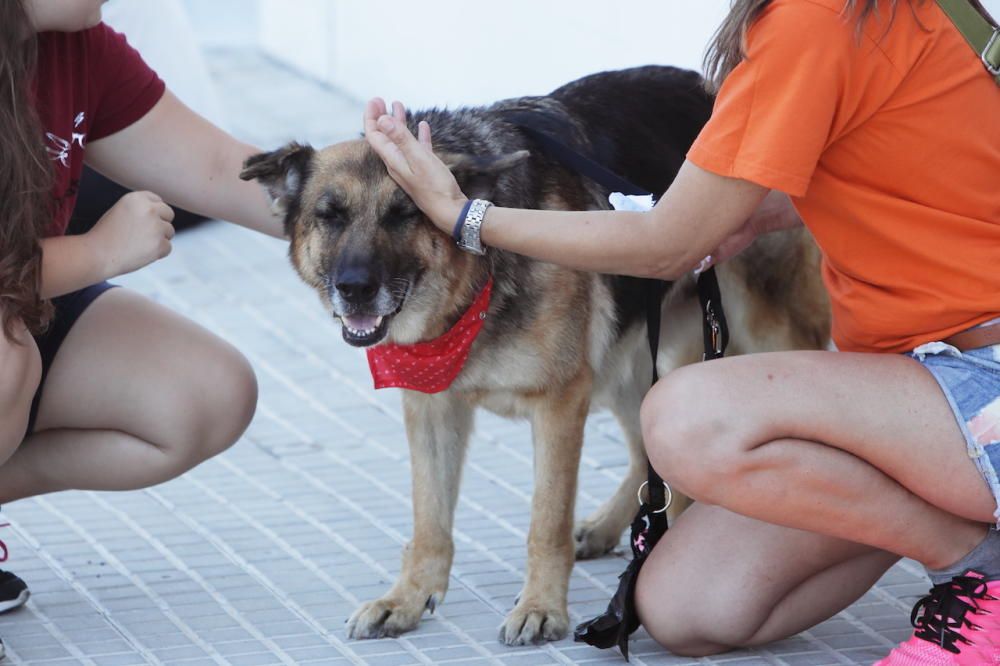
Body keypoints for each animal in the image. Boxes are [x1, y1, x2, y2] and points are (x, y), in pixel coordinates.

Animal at [242, 66, 828, 644]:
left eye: (403, 213)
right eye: (330, 216)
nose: (355, 289)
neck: (473, 289)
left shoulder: (558, 403)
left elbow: (545, 522)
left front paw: (542, 608)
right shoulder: (431, 408)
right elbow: (429, 520)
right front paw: (405, 599)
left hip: (758, 336)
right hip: (631, 364)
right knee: (647, 450)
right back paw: (615, 528)